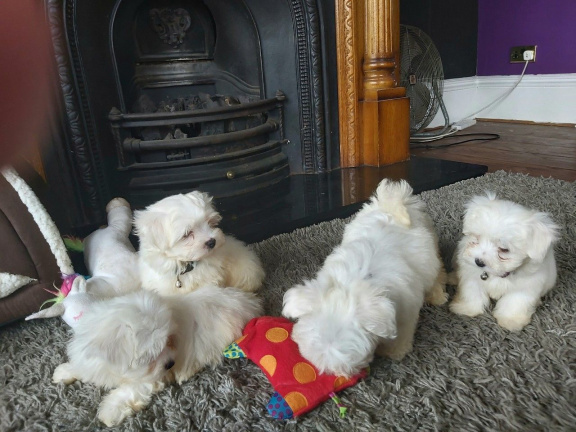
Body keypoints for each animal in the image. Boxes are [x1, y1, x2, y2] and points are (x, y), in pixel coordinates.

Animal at [51, 286, 264, 426]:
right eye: (150, 357)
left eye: (169, 341)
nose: (170, 363)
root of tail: (250, 303)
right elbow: (83, 366)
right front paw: (64, 372)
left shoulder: (148, 379)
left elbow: (128, 391)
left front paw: (109, 410)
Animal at [282, 179, 448, 378]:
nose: (338, 374)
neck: (353, 285)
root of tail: (392, 204)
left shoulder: (405, 308)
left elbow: (401, 332)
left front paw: (393, 351)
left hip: (430, 247)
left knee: (436, 270)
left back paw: (437, 294)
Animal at [450, 192, 560, 330]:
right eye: (477, 238)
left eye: (504, 249)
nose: (479, 262)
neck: (497, 275)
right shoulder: (471, 277)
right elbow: (472, 292)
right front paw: (466, 309)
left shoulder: (526, 286)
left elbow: (514, 302)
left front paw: (511, 321)